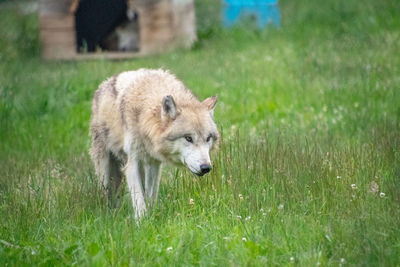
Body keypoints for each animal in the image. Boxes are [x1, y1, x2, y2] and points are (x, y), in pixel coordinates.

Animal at [90, 69, 219, 220]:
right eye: (188, 138)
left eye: (208, 138)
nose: (206, 167)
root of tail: (103, 84)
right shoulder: (132, 162)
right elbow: (139, 198)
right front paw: (142, 221)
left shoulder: (154, 163)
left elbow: (150, 195)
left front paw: (151, 217)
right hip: (105, 168)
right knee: (105, 192)